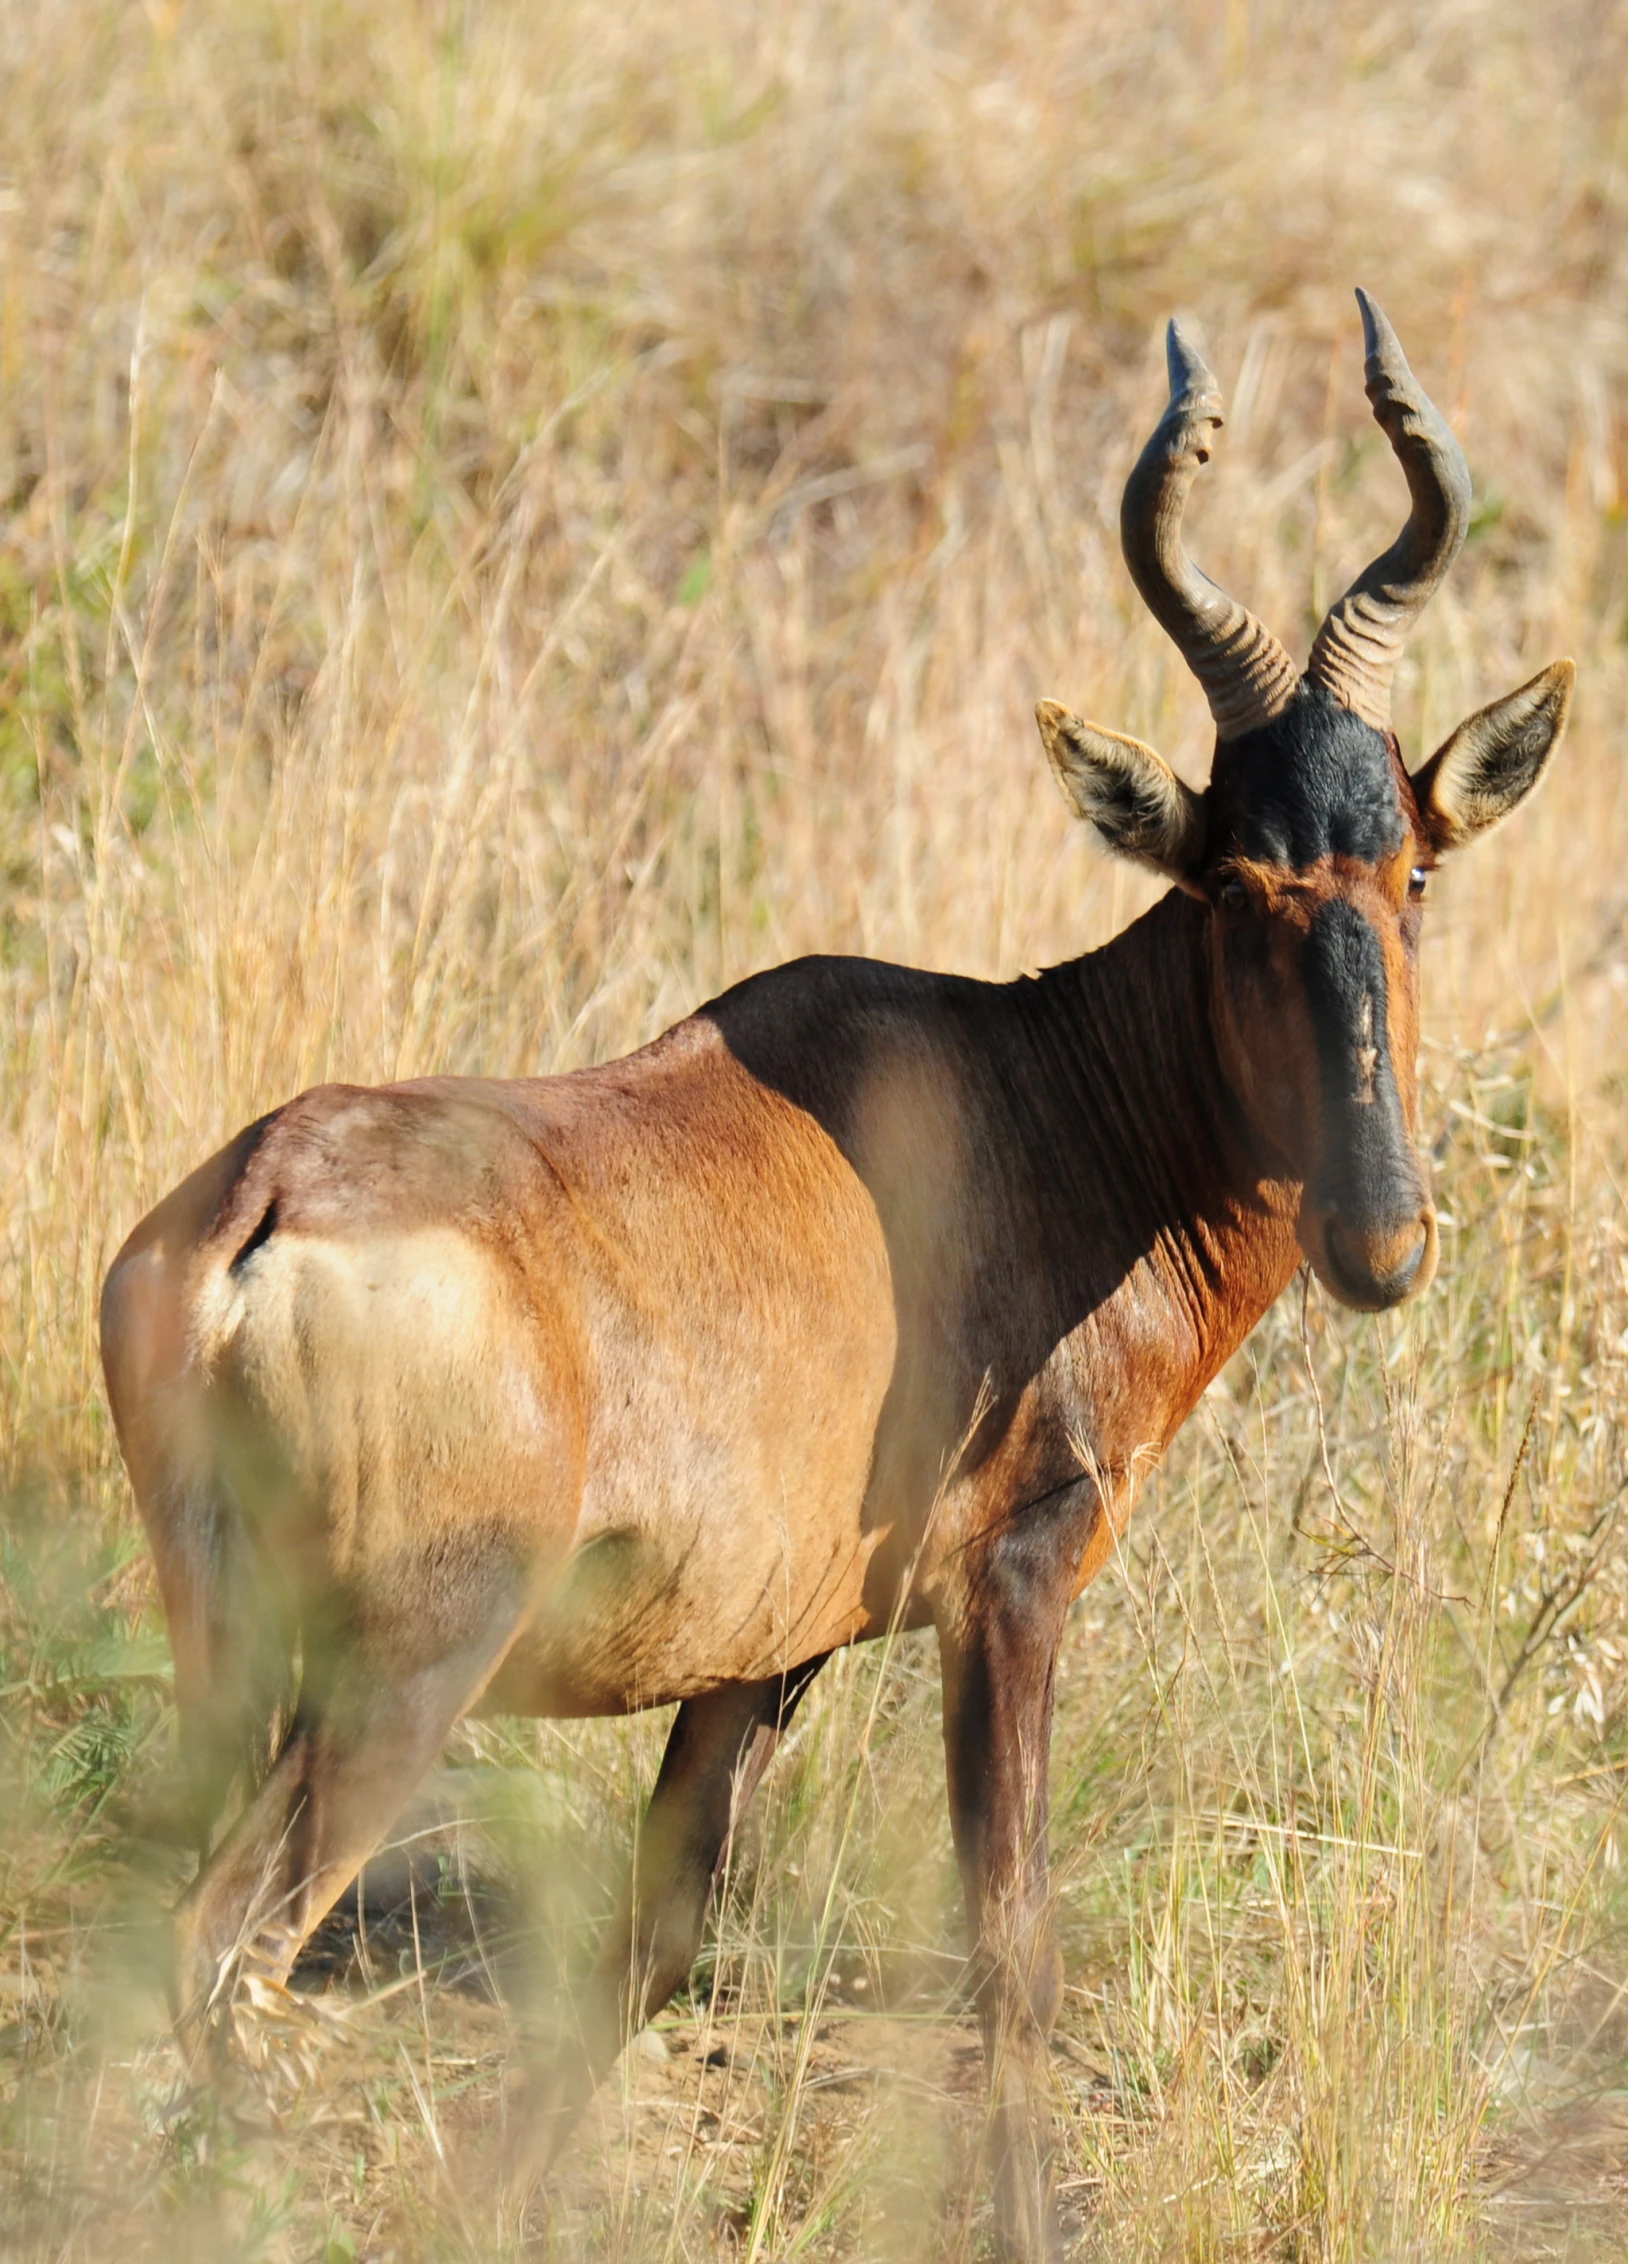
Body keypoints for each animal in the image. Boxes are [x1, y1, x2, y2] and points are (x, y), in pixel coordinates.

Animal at [98, 292, 1566, 2254]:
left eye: (1407, 867)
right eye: (1234, 882)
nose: (1378, 1238)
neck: (1025, 1094)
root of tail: (256, 1203)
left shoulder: (762, 1651)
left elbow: (650, 1944)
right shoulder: (1009, 1588)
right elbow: (1008, 1950)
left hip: (224, 1640)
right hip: (399, 1673)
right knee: (227, 1950)